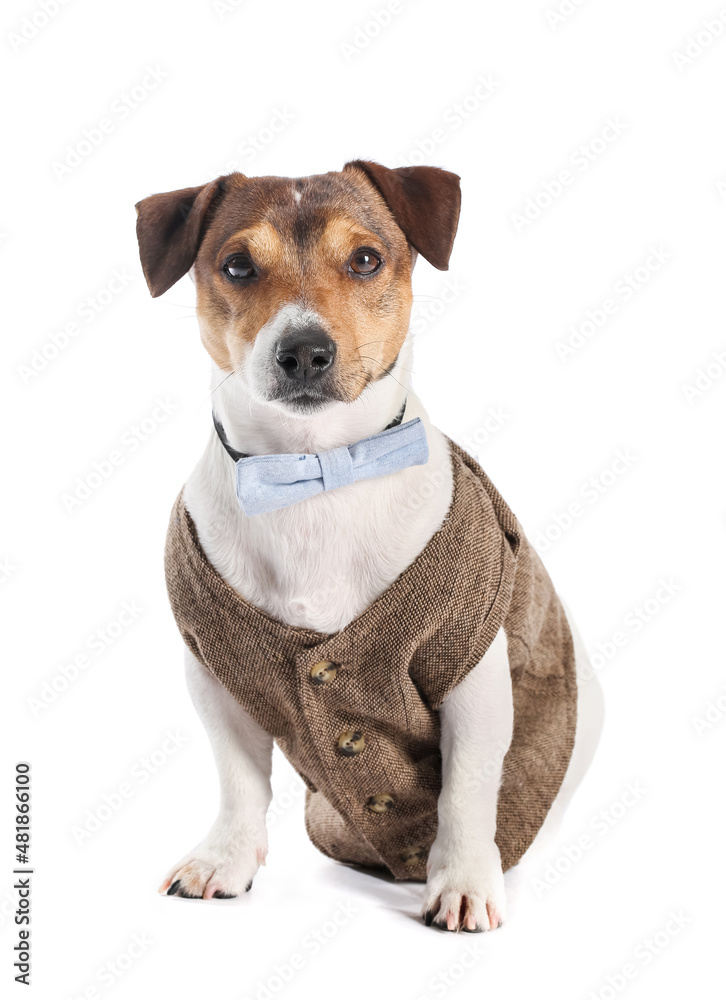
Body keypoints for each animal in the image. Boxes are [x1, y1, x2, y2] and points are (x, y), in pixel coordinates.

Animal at [135, 160, 604, 932]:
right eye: (237, 265)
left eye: (364, 259)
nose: (303, 350)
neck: (314, 472)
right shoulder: (213, 666)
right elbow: (238, 779)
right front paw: (225, 859)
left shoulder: (469, 661)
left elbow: (467, 789)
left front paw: (463, 881)